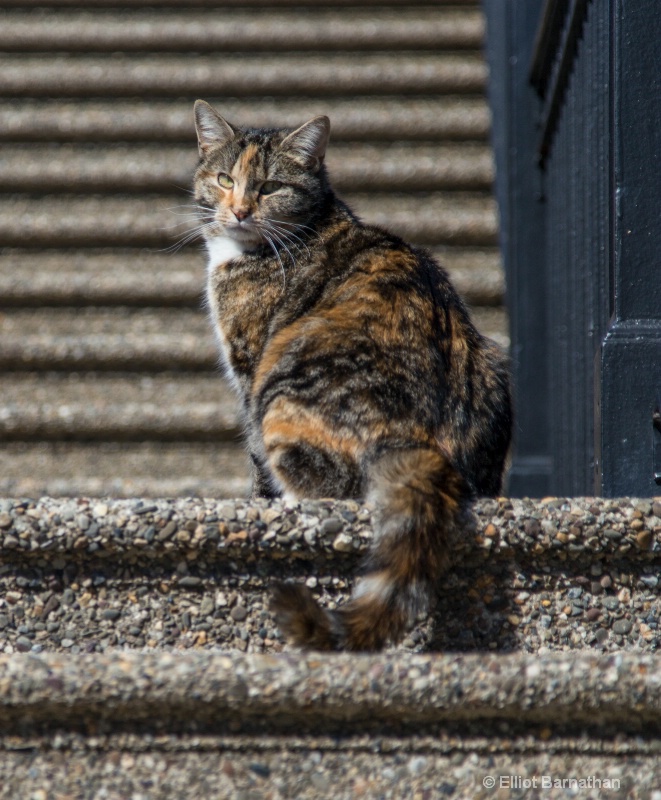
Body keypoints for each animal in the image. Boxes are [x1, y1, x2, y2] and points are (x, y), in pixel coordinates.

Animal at [191, 100, 510, 648]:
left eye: (270, 187)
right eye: (224, 177)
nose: (240, 210)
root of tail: (422, 445)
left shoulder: (249, 364)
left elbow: (254, 460)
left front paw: (258, 510)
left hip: (283, 386)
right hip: (492, 362)